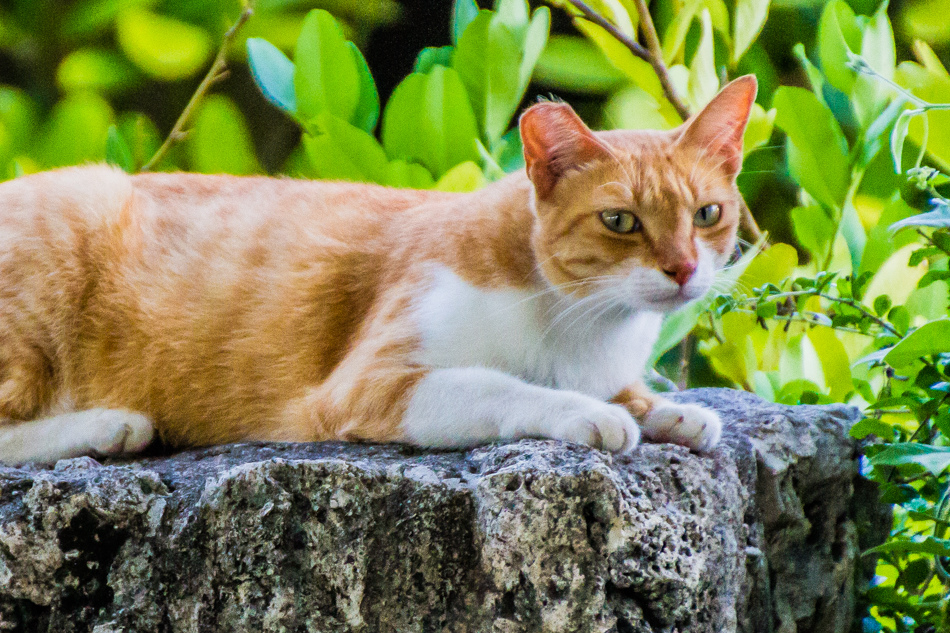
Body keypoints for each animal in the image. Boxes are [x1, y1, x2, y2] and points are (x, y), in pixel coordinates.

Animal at [0, 76, 760, 464]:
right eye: (621, 222)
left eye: (707, 214)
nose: (683, 269)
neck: (585, 326)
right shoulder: (368, 386)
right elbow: (502, 385)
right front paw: (592, 412)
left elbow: (636, 394)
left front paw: (669, 411)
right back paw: (107, 426)